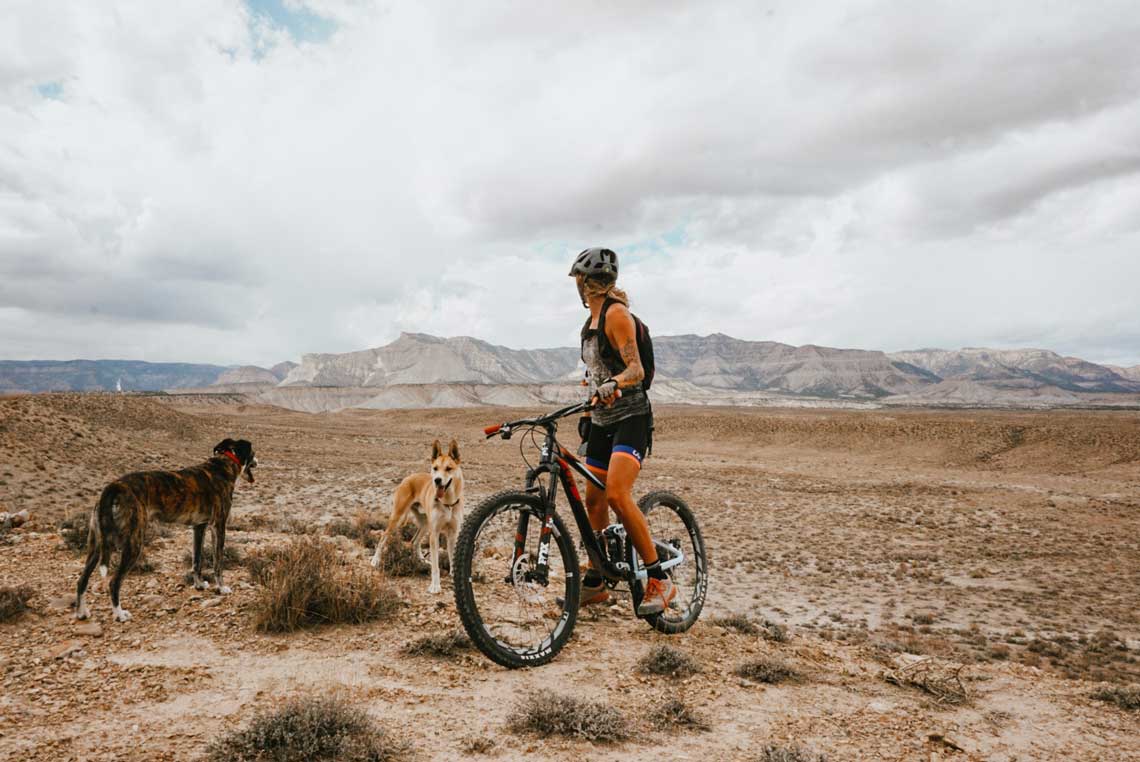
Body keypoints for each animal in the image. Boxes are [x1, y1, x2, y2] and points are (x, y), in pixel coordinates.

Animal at [77, 438, 258, 620]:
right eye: (253, 453)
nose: (258, 461)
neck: (224, 463)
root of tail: (115, 487)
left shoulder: (199, 527)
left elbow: (197, 560)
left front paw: (199, 585)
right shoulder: (219, 526)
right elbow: (218, 562)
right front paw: (221, 588)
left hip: (96, 544)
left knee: (82, 580)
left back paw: (82, 613)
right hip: (133, 542)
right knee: (114, 582)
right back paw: (120, 614)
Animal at [371, 433, 465, 593]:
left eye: (448, 468)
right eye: (435, 468)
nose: (437, 480)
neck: (448, 503)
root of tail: (408, 477)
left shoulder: (453, 533)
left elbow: (452, 558)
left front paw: (454, 576)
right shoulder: (435, 533)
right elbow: (436, 566)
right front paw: (435, 585)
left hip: (425, 524)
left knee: (414, 541)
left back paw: (422, 560)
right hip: (399, 518)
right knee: (384, 536)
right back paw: (375, 560)